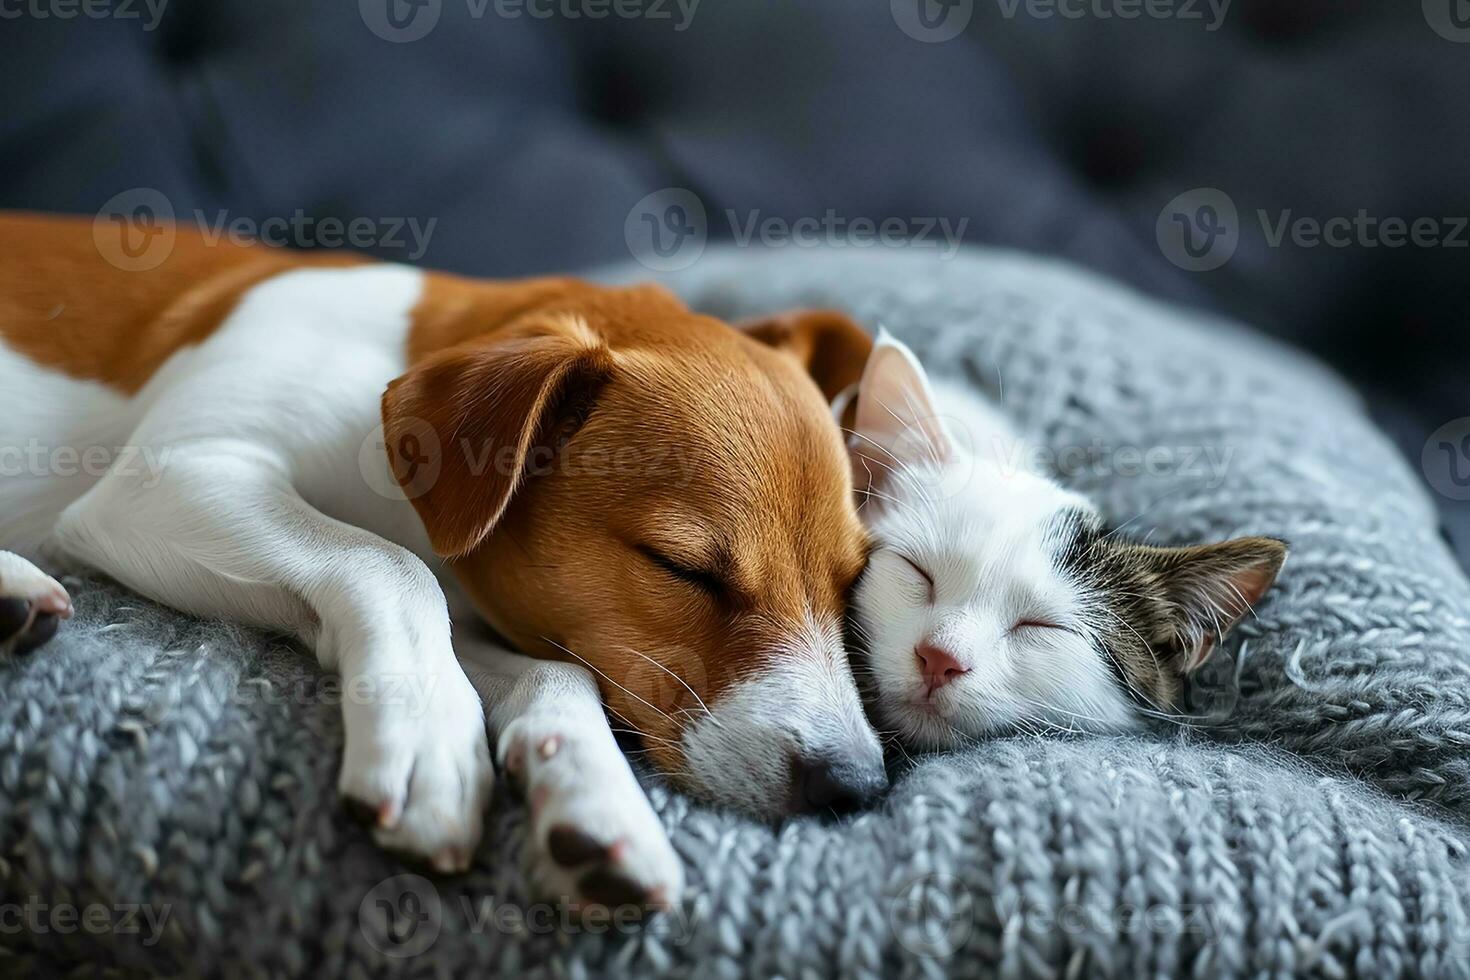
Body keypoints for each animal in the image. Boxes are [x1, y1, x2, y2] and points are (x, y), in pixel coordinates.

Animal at [0, 211, 882, 910]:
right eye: (684, 569)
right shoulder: (169, 478)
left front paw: (593, 797)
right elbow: (391, 567)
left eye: (852, 583)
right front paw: (429, 739)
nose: (859, 789)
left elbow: (559, 674)